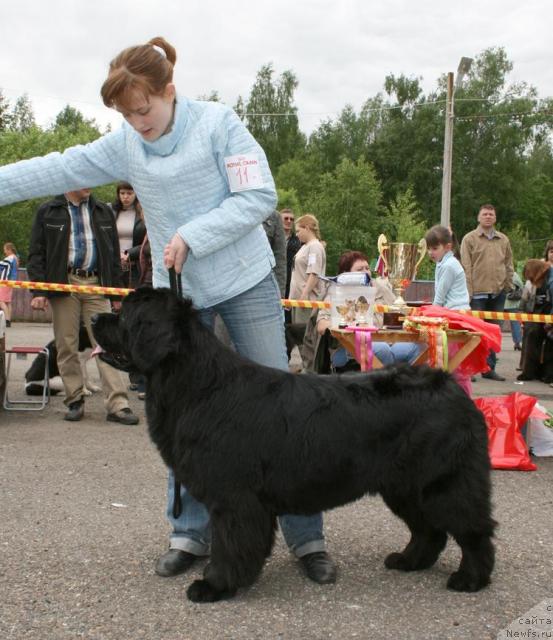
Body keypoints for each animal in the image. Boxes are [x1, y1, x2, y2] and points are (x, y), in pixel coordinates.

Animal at [91, 288, 496, 604]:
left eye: (125, 315)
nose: (95, 319)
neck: (197, 385)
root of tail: (452, 388)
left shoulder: (233, 498)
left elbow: (229, 544)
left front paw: (215, 585)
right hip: (403, 487)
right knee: (429, 530)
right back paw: (409, 561)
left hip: (443, 484)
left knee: (473, 530)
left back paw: (470, 579)